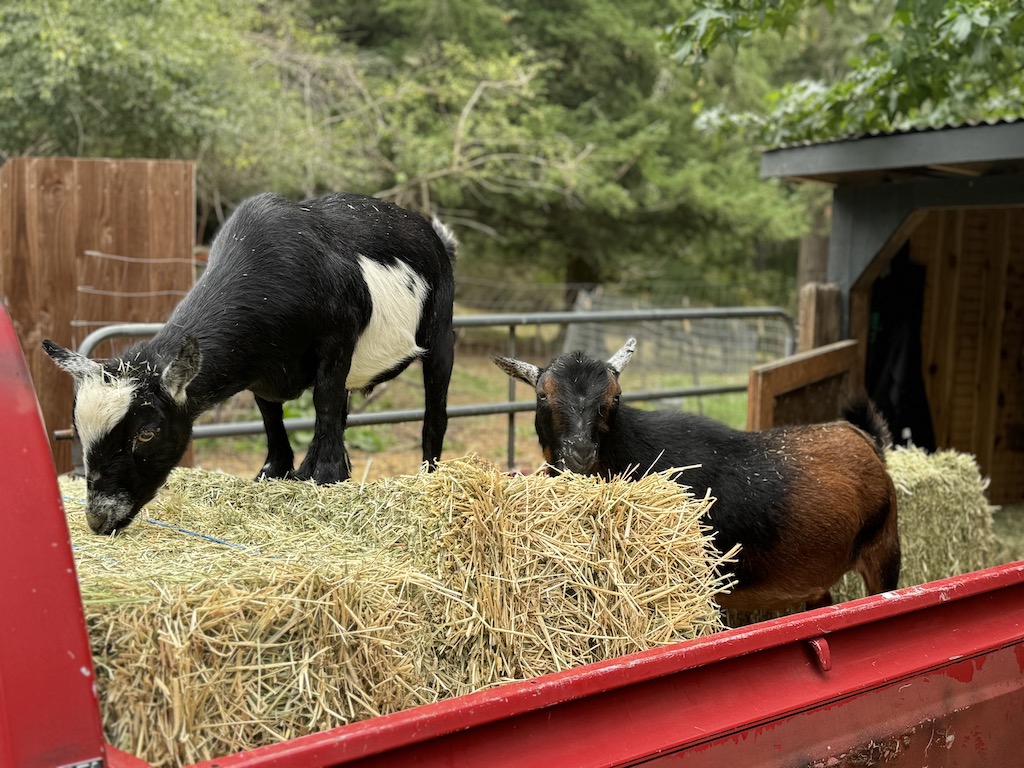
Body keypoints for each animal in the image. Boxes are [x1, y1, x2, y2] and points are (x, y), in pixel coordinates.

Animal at [48, 193, 456, 536]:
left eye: (146, 433)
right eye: (77, 430)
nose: (98, 519)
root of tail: (436, 237)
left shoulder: (338, 338)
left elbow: (323, 402)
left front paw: (327, 476)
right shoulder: (263, 371)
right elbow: (273, 417)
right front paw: (277, 472)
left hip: (441, 334)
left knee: (433, 413)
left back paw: (428, 477)